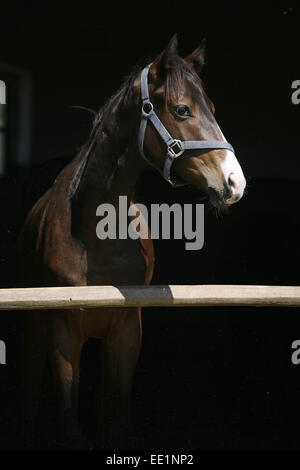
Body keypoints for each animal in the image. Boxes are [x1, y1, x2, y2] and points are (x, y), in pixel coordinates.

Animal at [17, 34, 246, 448]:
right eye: (183, 109)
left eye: (212, 108)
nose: (235, 182)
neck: (97, 240)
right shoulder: (62, 333)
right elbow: (70, 424)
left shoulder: (127, 330)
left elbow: (116, 421)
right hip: (33, 331)